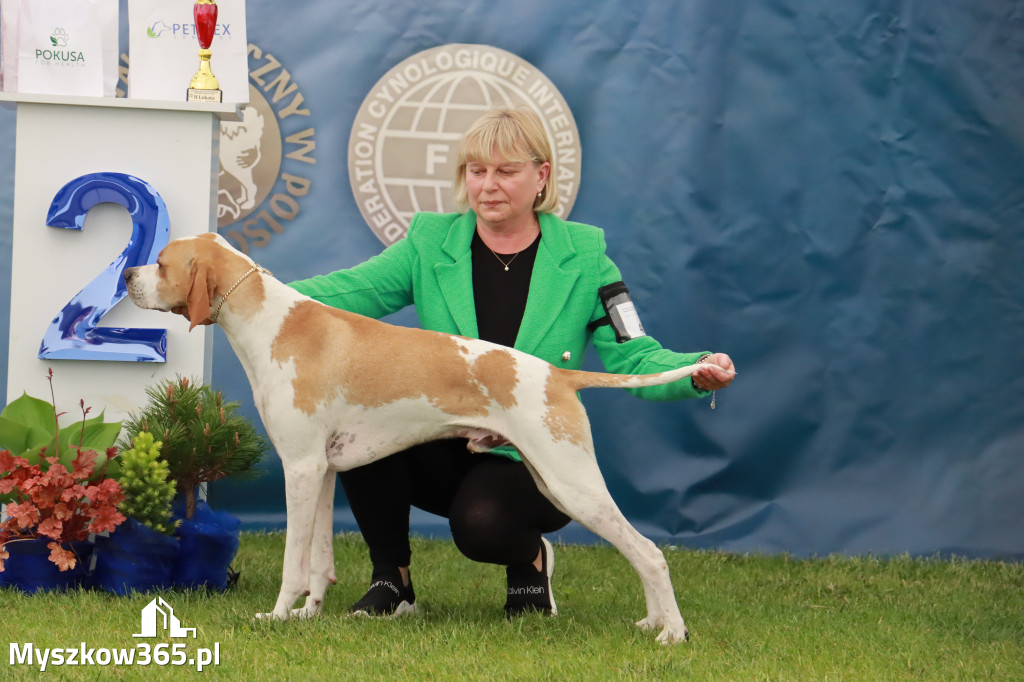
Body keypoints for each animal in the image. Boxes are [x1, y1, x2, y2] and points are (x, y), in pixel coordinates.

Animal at [125, 231, 720, 638]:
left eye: (161, 262)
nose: (128, 273)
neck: (275, 327)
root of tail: (558, 374)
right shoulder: (320, 471)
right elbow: (319, 564)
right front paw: (308, 615)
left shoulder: (299, 467)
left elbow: (294, 563)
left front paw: (275, 615)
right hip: (556, 481)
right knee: (637, 554)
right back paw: (652, 622)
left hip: (572, 483)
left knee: (650, 553)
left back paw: (672, 632)